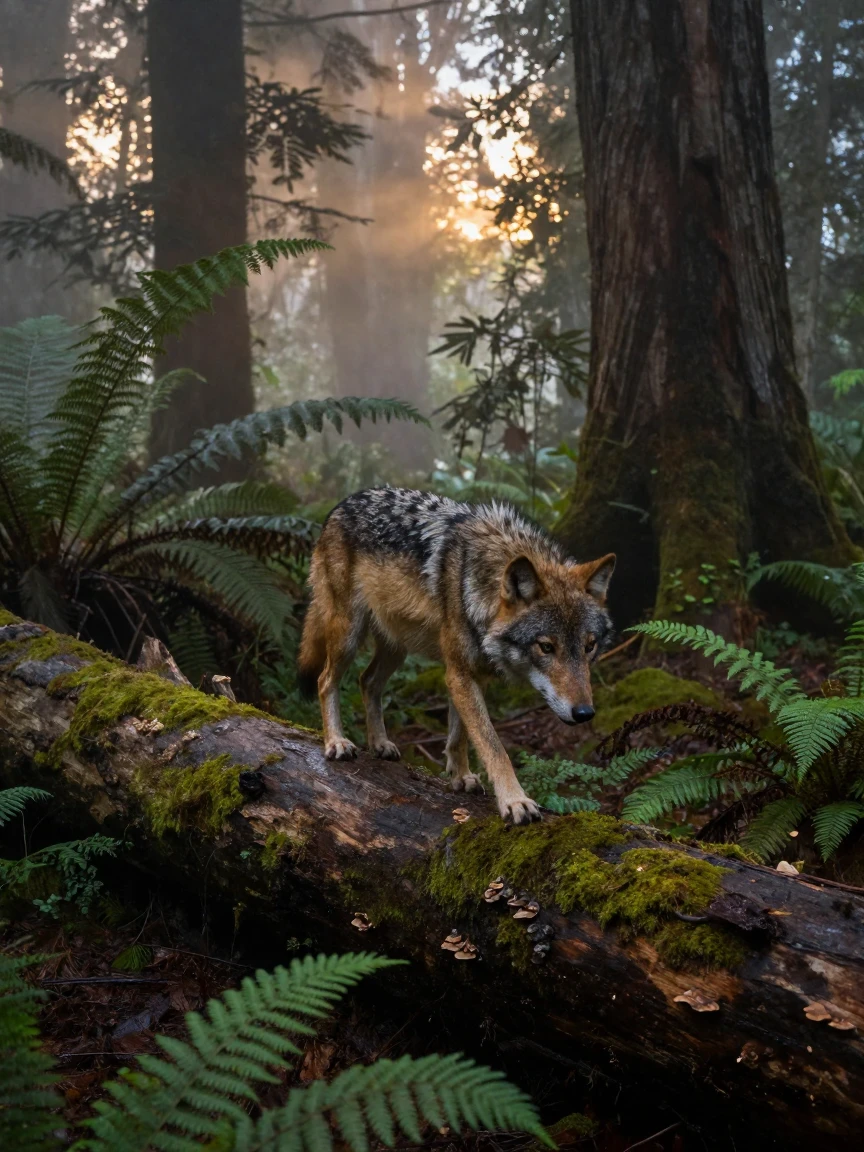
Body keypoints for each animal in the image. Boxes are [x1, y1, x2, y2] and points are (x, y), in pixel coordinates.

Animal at [297, 487, 615, 825]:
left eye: (589, 646)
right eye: (546, 647)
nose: (584, 713)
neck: (480, 585)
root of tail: (342, 504)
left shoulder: (473, 674)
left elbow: (460, 735)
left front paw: (461, 777)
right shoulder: (459, 674)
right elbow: (493, 746)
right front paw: (515, 800)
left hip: (397, 647)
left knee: (367, 680)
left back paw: (380, 743)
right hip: (348, 635)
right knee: (325, 680)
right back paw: (336, 742)